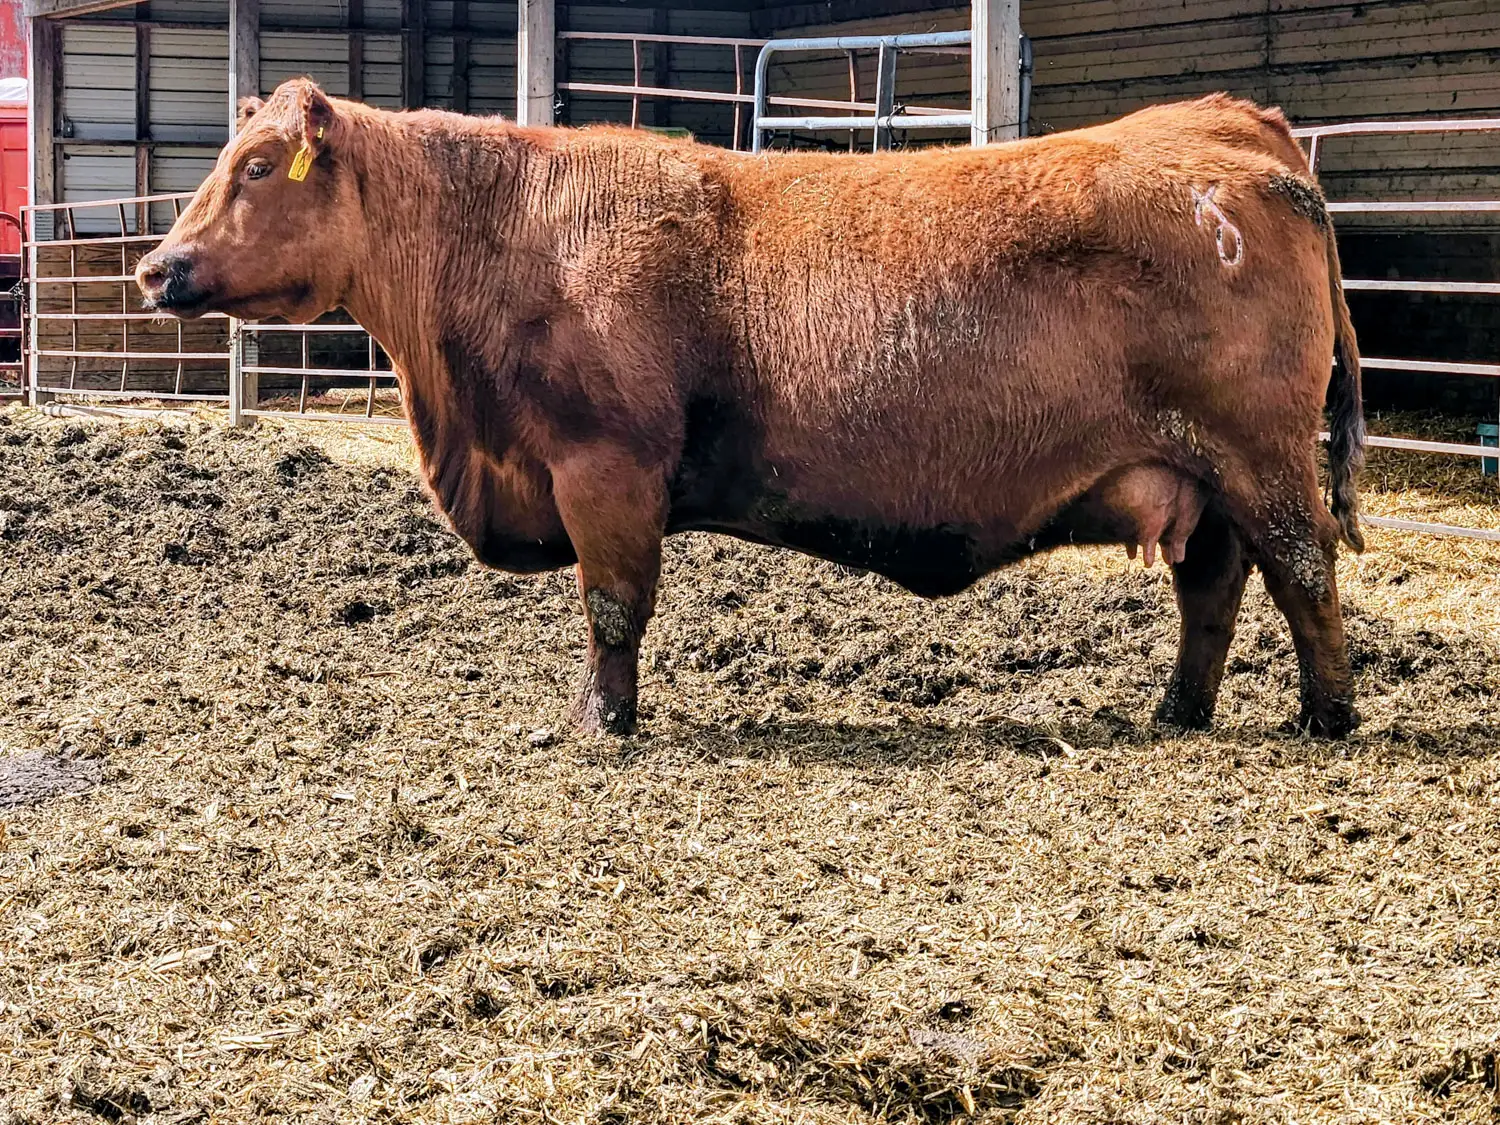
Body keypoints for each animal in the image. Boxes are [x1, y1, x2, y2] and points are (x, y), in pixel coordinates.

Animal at [136, 79, 1367, 739]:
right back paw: (1178, 711)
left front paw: (604, 725)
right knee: (1213, 588)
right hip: (1203, 476)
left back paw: (1328, 717)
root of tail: (1229, 123)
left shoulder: (606, 471)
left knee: (1304, 572)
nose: (155, 267)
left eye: (258, 166)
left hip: (1262, 459)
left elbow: (613, 611)